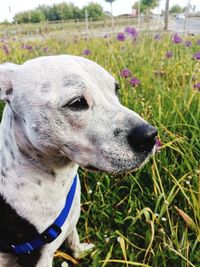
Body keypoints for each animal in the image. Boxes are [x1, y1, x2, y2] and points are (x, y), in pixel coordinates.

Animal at [0, 55, 157, 267]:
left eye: (116, 89)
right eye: (76, 102)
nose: (149, 136)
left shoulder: (72, 218)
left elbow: (73, 238)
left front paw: (80, 252)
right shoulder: (36, 257)